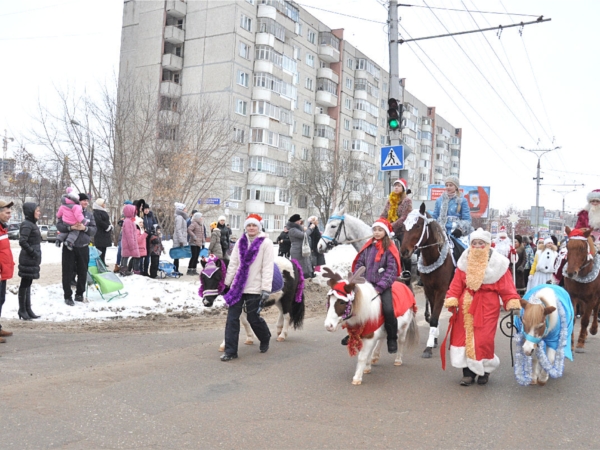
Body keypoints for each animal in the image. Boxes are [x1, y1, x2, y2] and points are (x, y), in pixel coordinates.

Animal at [400, 202, 452, 356]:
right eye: (404, 226)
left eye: (418, 225)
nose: (404, 251)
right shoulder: (429, 289)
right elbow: (434, 315)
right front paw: (433, 340)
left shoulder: (441, 290)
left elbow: (434, 318)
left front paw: (428, 347)